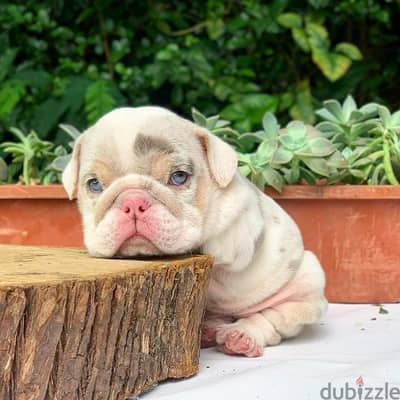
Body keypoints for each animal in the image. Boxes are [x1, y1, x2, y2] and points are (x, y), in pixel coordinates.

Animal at [61, 105, 324, 356]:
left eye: (178, 177)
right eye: (94, 184)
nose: (133, 202)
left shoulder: (243, 212)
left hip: (306, 285)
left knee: (272, 318)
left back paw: (241, 336)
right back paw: (208, 330)